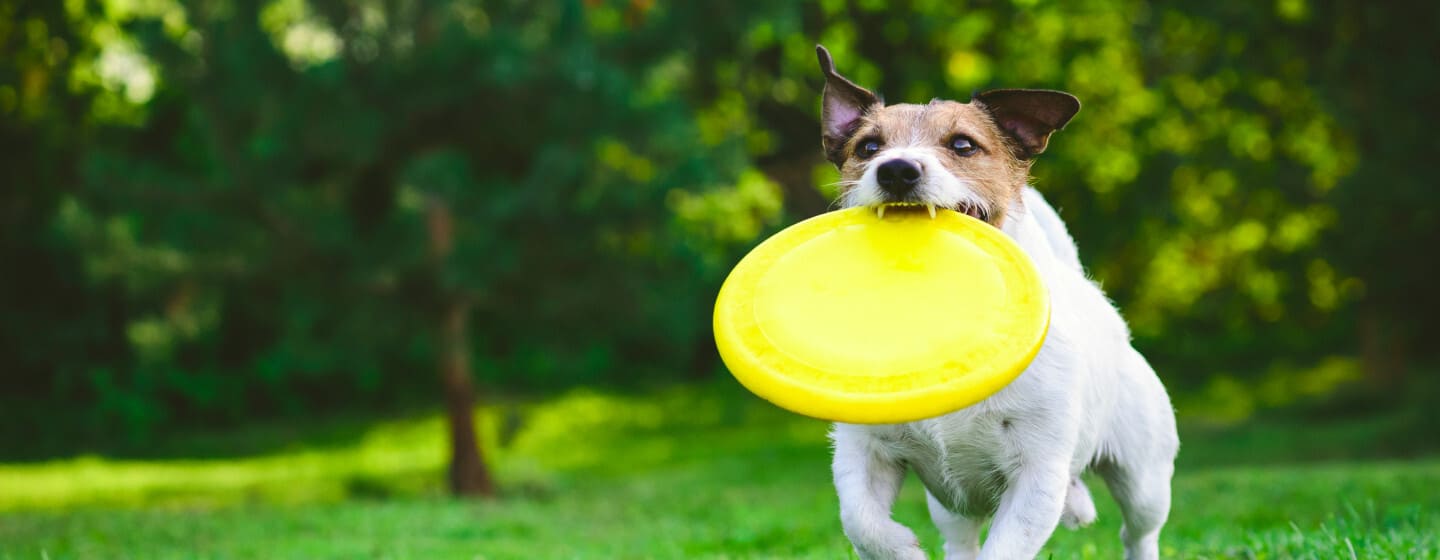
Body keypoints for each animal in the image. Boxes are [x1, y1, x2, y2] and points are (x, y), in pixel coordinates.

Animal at [817, 46, 1175, 558]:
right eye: (868, 147)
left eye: (963, 145)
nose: (897, 169)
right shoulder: (863, 449)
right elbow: (861, 521)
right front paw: (902, 547)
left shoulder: (1037, 474)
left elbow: (1007, 545)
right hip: (950, 505)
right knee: (960, 538)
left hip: (1144, 476)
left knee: (1139, 531)